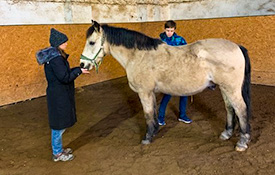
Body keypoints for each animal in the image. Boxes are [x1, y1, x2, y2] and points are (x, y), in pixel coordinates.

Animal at [80, 20, 252, 152]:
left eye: (92, 42)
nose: (82, 64)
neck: (138, 56)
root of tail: (237, 46)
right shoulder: (151, 93)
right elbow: (154, 112)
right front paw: (155, 131)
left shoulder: (144, 92)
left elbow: (148, 114)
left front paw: (147, 137)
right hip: (224, 88)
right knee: (230, 108)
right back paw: (226, 134)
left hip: (231, 88)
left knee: (241, 109)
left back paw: (242, 142)